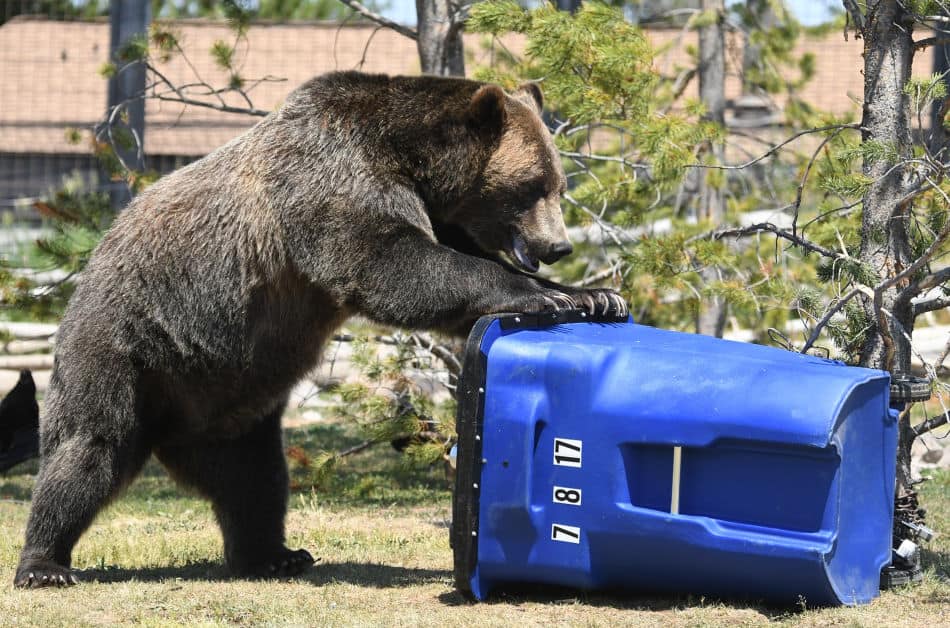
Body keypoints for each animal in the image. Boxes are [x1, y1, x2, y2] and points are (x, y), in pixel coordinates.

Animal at [14, 71, 626, 587]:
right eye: (534, 185)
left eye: (560, 184)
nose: (558, 245)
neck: (410, 161)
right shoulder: (332, 183)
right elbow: (395, 265)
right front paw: (544, 294)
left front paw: (595, 294)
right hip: (128, 348)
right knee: (88, 448)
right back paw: (45, 563)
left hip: (229, 401)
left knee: (254, 479)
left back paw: (273, 554)